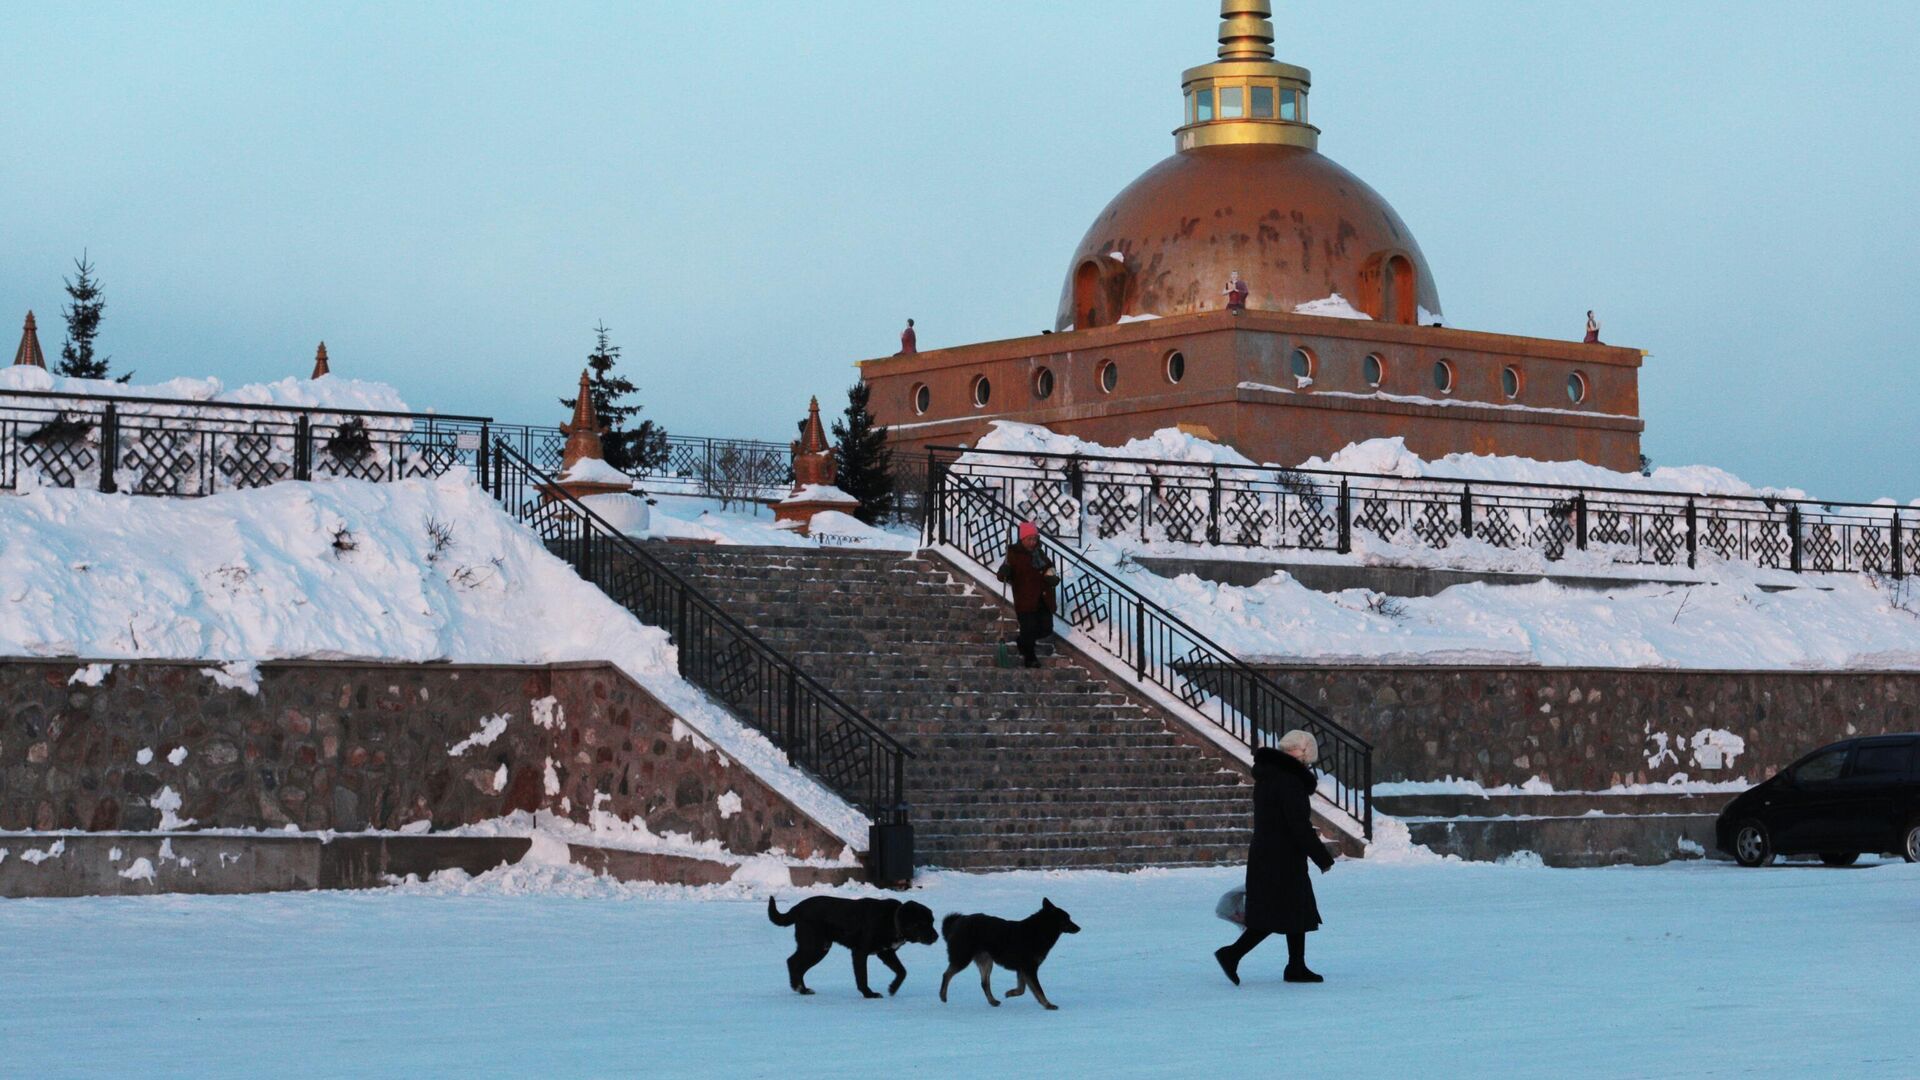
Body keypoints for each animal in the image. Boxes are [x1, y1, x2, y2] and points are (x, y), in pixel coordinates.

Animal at [768, 891, 940, 991]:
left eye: (932, 921)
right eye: (921, 923)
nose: (936, 937)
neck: (892, 919)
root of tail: (798, 907)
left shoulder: (886, 953)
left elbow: (902, 971)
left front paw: (892, 988)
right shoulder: (860, 952)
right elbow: (862, 976)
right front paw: (869, 994)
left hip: (820, 948)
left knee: (797, 965)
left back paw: (801, 989)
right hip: (814, 946)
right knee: (792, 962)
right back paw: (799, 988)